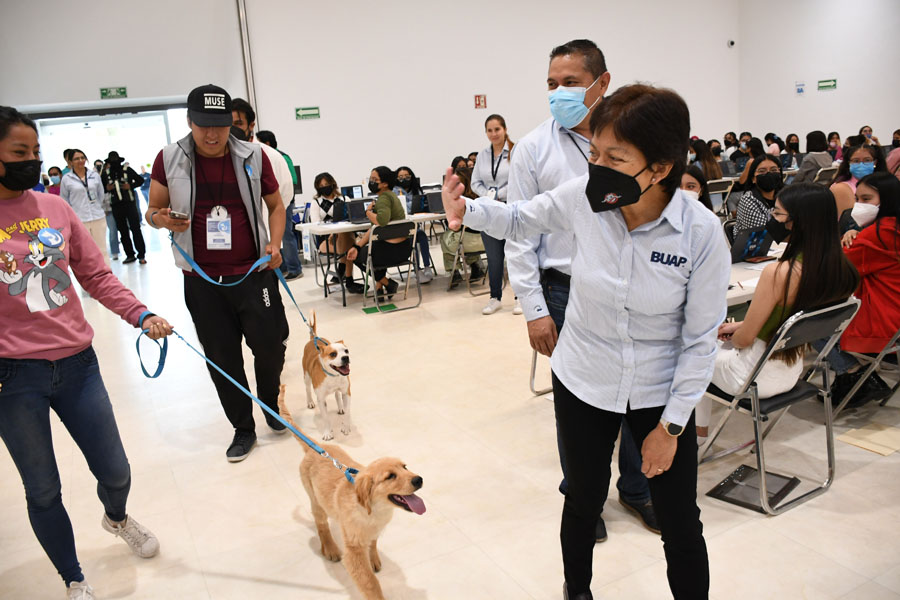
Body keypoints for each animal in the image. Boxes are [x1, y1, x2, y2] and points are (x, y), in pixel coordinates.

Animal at [278, 384, 426, 600]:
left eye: (405, 467)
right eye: (390, 476)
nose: (419, 479)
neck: (374, 510)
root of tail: (317, 447)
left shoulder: (374, 531)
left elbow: (373, 544)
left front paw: (373, 559)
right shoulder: (353, 550)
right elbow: (370, 584)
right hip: (315, 499)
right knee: (321, 525)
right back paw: (330, 548)